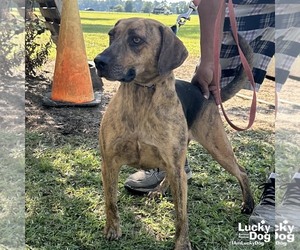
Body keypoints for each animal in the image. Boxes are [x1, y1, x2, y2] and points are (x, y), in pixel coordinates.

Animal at [95, 18, 254, 250]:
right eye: (111, 35)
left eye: (136, 40)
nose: (98, 61)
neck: (142, 94)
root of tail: (205, 93)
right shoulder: (109, 163)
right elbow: (111, 201)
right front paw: (112, 228)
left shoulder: (176, 167)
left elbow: (181, 215)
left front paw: (182, 243)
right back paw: (158, 190)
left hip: (217, 149)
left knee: (241, 172)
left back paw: (248, 203)